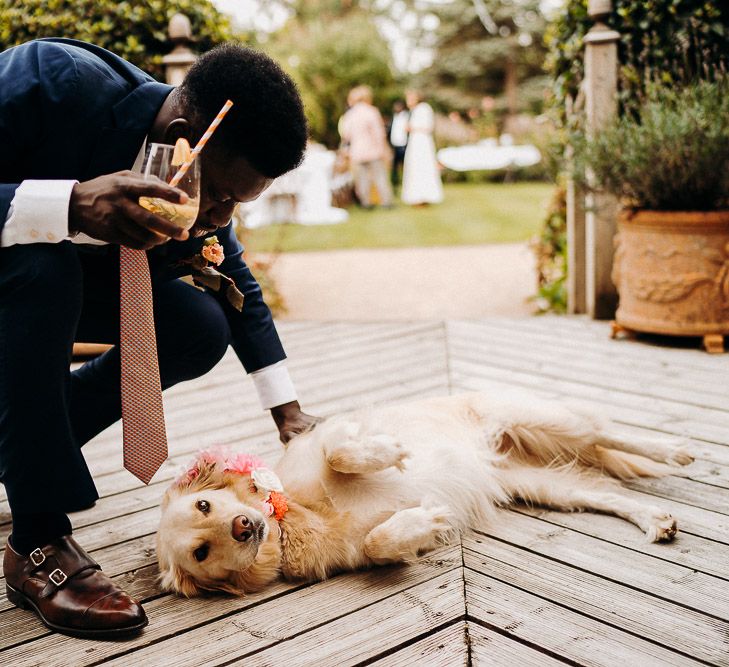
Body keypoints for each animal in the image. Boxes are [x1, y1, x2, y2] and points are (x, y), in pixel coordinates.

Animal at [156, 388, 692, 596]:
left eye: (205, 502)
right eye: (201, 551)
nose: (245, 526)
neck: (297, 516)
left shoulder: (329, 435)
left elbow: (342, 452)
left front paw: (388, 452)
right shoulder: (363, 549)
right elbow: (377, 542)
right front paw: (423, 521)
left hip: (544, 420)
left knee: (610, 434)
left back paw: (674, 449)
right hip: (546, 486)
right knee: (607, 491)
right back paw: (654, 519)